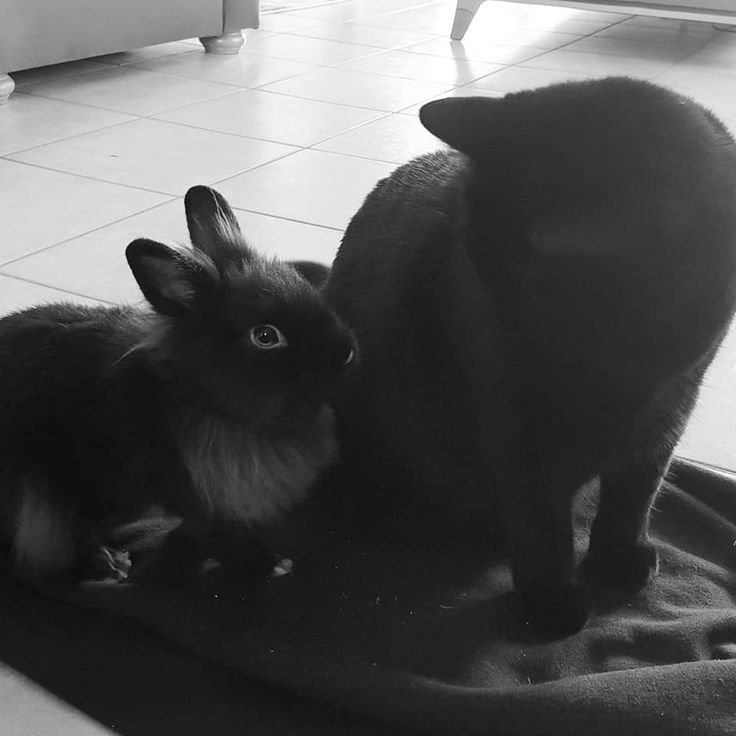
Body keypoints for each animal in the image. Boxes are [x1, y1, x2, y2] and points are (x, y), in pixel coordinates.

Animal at [0, 185, 356, 587]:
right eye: (265, 336)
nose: (346, 351)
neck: (209, 400)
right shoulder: (199, 501)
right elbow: (222, 536)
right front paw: (268, 564)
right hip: (38, 502)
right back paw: (106, 564)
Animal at [321, 77, 736, 636]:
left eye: (536, 291)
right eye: (471, 273)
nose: (503, 330)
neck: (627, 361)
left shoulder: (669, 411)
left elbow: (635, 493)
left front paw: (619, 558)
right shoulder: (521, 438)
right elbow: (542, 525)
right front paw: (552, 601)